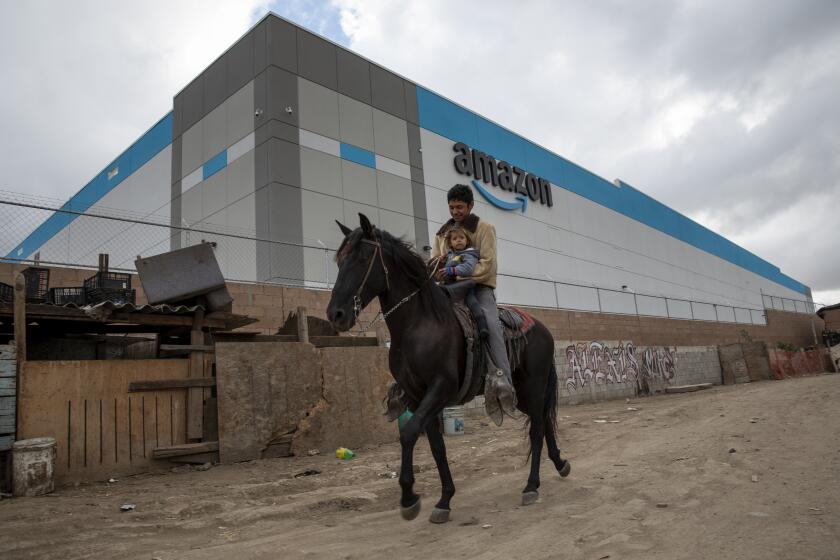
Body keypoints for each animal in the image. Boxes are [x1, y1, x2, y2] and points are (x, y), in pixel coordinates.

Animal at [324, 215, 572, 524]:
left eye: (363, 257)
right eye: (339, 260)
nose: (336, 314)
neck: (420, 324)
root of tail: (544, 329)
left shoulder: (440, 388)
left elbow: (408, 434)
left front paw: (409, 498)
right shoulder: (418, 396)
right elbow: (436, 446)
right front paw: (444, 500)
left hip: (533, 386)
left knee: (537, 428)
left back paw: (531, 486)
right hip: (527, 394)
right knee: (544, 422)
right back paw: (560, 464)